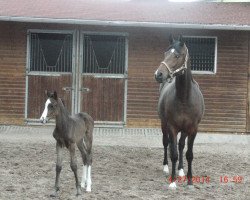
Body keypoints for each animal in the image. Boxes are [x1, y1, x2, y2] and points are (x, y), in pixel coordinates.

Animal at [154, 35, 205, 190]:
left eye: (177, 55)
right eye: (165, 53)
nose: (158, 74)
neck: (184, 98)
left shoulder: (193, 129)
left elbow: (189, 153)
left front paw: (189, 181)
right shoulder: (172, 127)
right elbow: (174, 154)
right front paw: (172, 182)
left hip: (184, 129)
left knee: (181, 145)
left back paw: (181, 170)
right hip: (164, 124)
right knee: (166, 144)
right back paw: (166, 167)